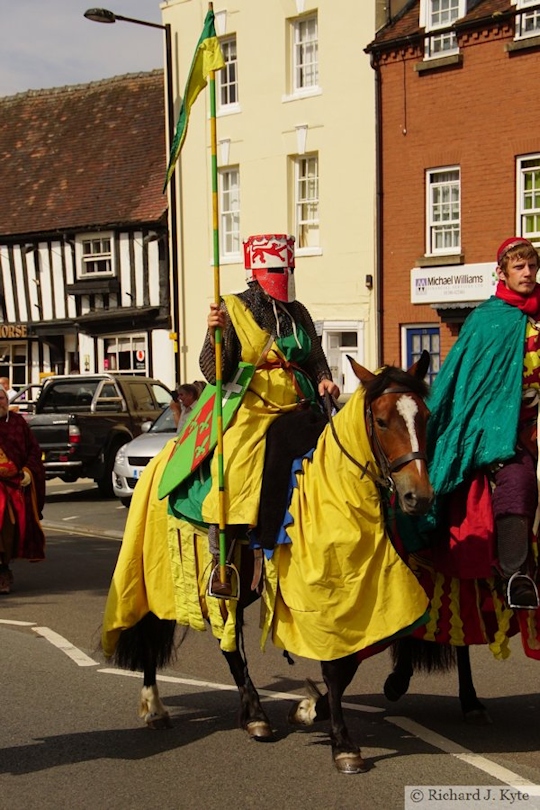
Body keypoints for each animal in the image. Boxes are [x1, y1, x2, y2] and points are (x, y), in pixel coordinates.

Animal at [101, 350, 434, 772]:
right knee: (157, 629)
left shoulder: (362, 597)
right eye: (382, 420)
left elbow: (353, 662)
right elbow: (336, 668)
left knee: (229, 643)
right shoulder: (323, 602)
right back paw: (165, 707)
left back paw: (251, 713)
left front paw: (310, 709)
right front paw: (343, 744)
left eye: (425, 417)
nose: (417, 496)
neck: (329, 482)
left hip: (239, 586)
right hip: (158, 572)